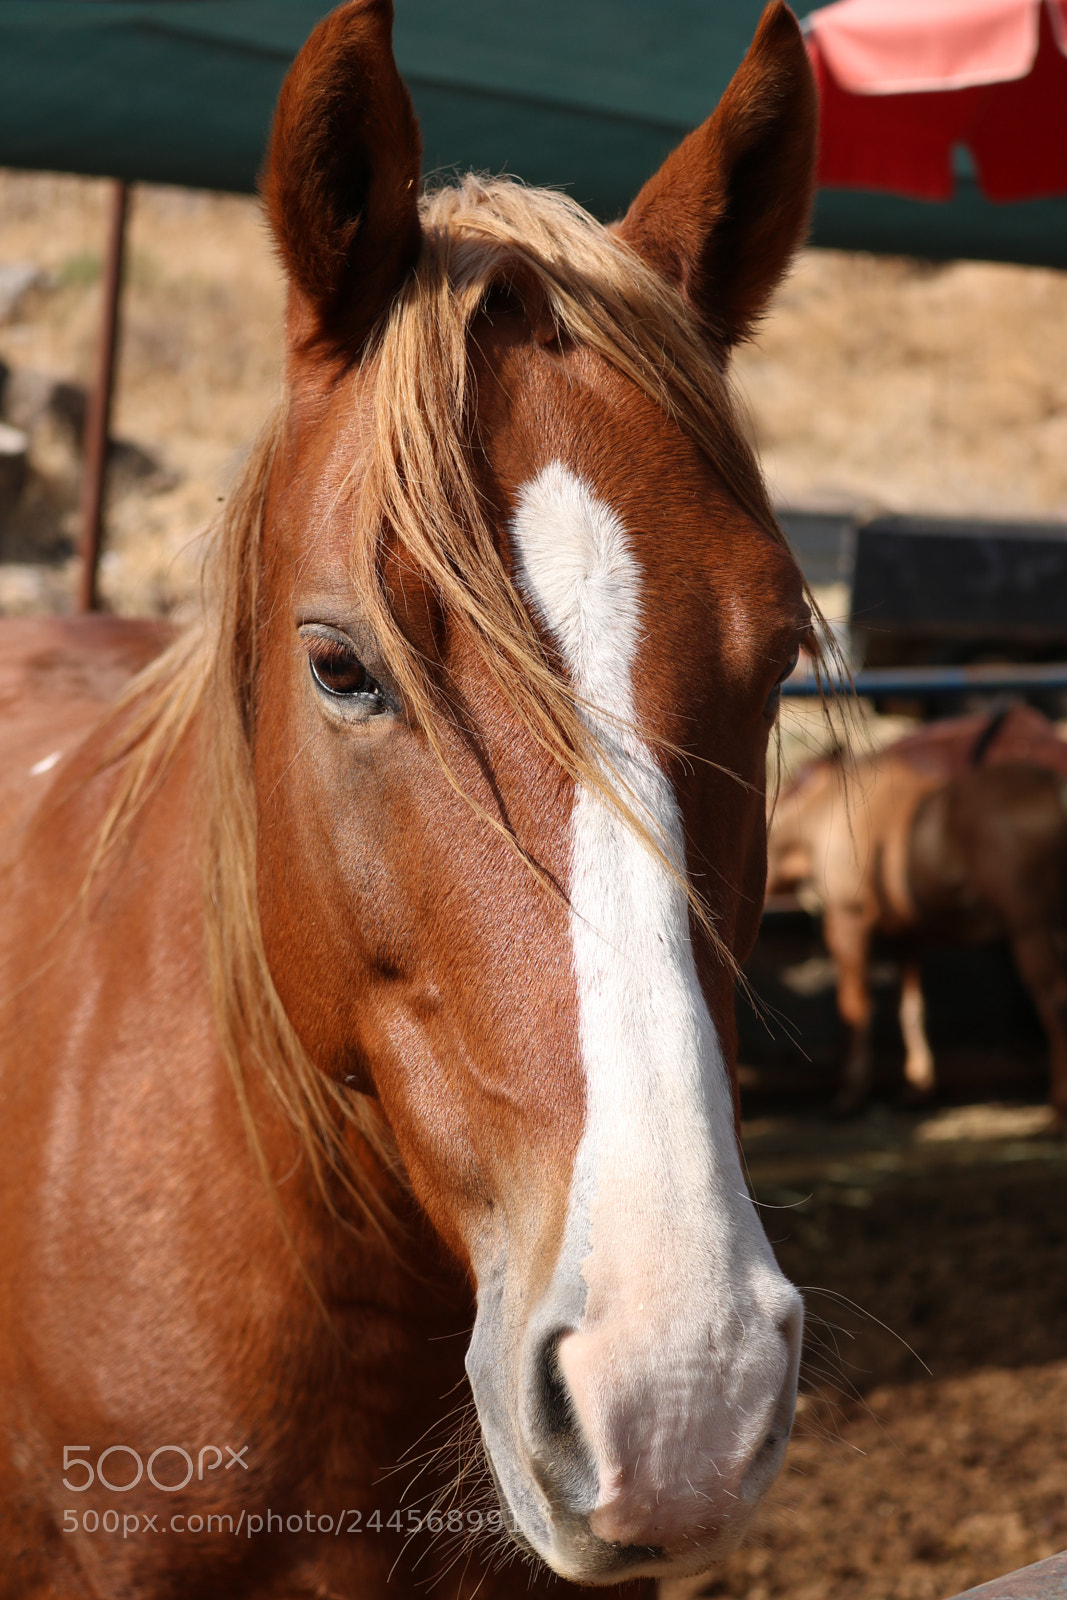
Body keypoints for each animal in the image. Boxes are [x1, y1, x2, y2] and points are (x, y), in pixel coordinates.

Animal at [766, 708, 1067, 1123]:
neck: (825, 812)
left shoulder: (846, 922)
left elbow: (856, 1007)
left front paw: (851, 1093)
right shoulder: (907, 935)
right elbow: (911, 1009)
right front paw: (917, 1087)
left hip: (1030, 927)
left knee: (1054, 1001)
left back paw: (1058, 1106)